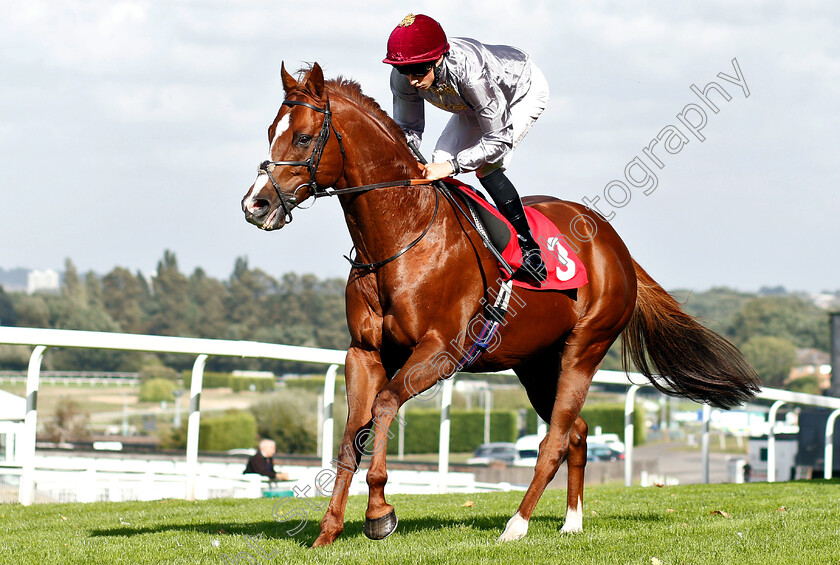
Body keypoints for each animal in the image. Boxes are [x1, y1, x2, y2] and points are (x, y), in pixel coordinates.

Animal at [238, 62, 760, 548]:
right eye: (270, 132)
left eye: (304, 137)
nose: (255, 204)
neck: (401, 237)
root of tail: (616, 247)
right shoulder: (363, 352)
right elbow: (352, 436)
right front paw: (328, 531)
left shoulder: (438, 351)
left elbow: (384, 406)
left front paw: (380, 512)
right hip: (535, 363)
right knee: (577, 431)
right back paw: (572, 522)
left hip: (584, 349)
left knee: (554, 440)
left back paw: (517, 525)